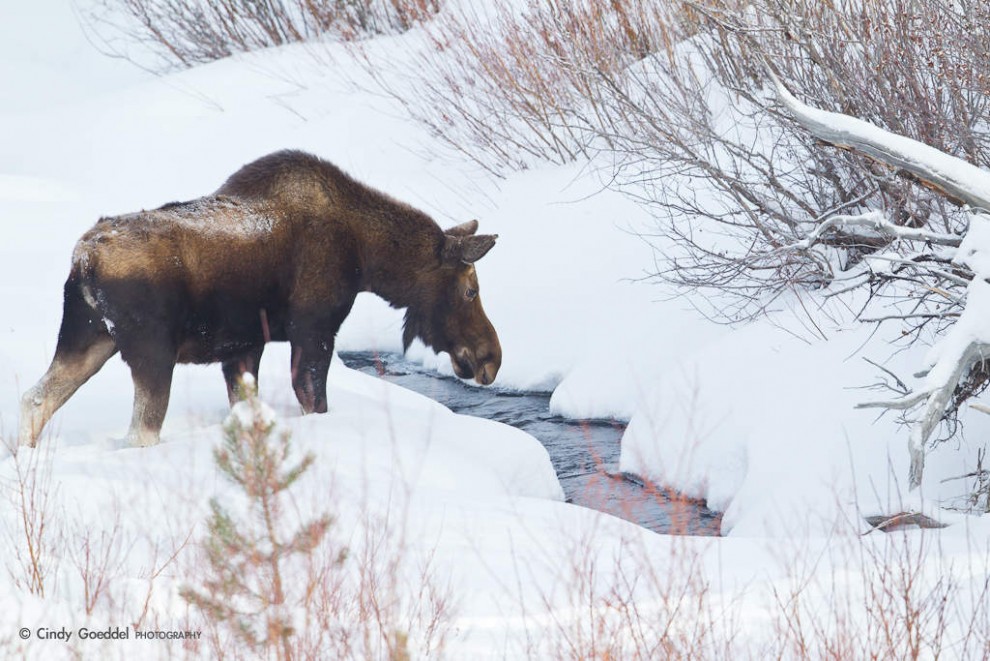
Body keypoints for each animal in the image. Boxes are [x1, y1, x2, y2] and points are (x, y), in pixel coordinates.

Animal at [19, 150, 504, 448]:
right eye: (470, 289)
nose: (491, 358)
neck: (365, 258)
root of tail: (83, 261)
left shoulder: (244, 346)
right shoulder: (314, 330)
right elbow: (313, 400)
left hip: (87, 337)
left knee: (35, 400)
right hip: (150, 352)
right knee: (140, 433)